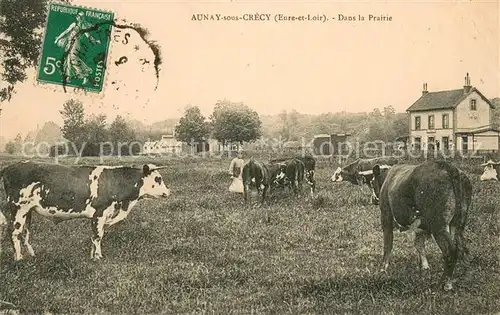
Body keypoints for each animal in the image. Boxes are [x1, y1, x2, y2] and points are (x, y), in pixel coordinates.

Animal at [0, 160, 171, 262]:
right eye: (158, 179)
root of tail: (9, 167)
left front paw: (93, 255)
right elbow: (97, 236)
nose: (168, 192)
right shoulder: (100, 213)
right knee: (13, 232)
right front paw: (98, 257)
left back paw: (31, 255)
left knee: (24, 232)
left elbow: (95, 236)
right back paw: (19, 259)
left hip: (27, 211)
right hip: (18, 208)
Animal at [372, 162, 472, 292]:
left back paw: (443, 284)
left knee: (450, 252)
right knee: (462, 247)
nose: (373, 199)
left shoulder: (386, 217)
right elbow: (419, 244)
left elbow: (387, 246)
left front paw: (382, 269)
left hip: (439, 226)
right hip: (458, 224)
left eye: (372, 183)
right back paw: (462, 276)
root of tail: (448, 167)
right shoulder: (420, 227)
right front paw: (425, 267)